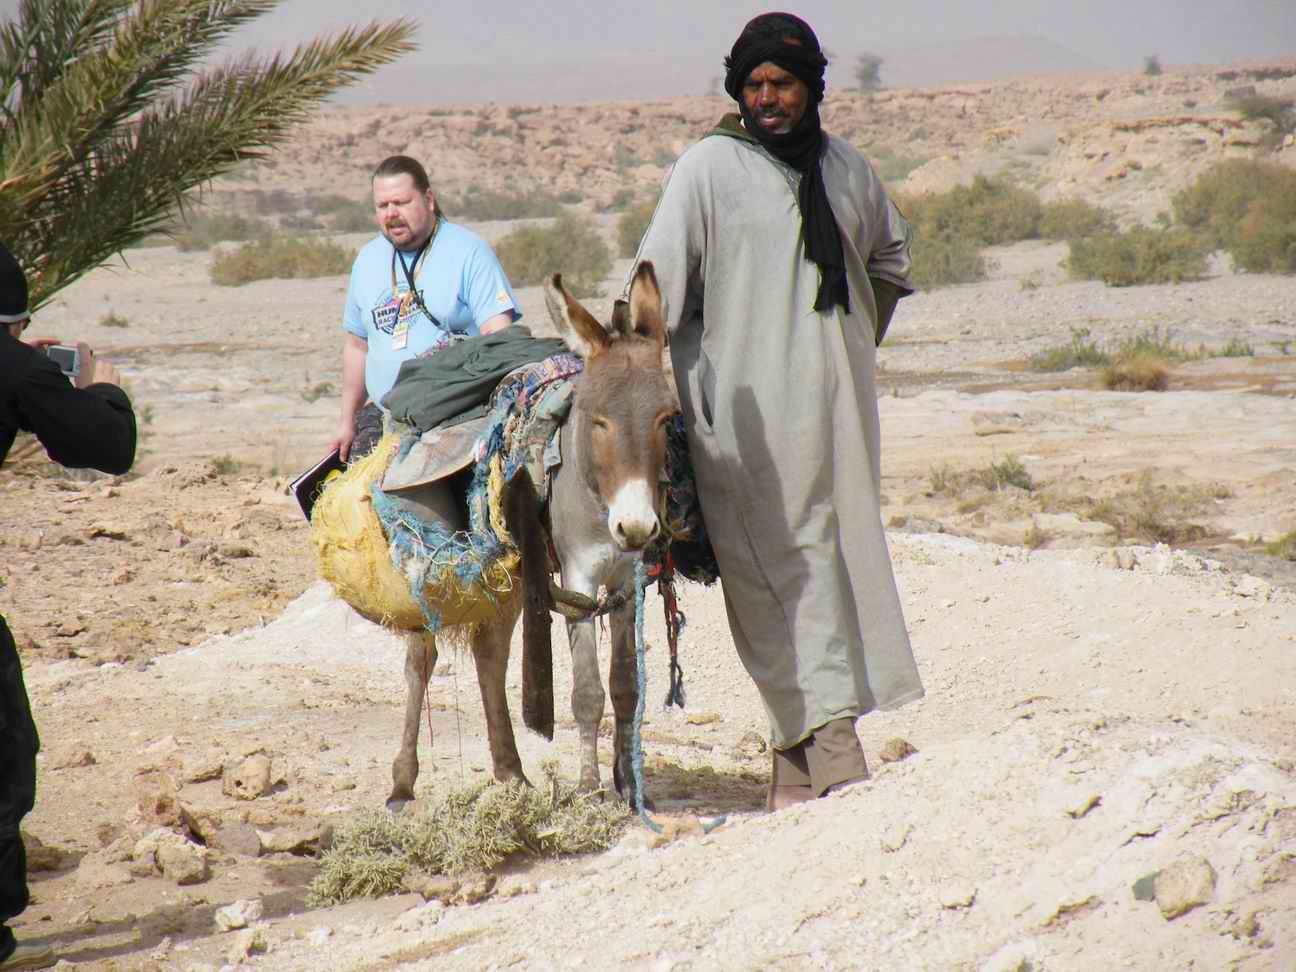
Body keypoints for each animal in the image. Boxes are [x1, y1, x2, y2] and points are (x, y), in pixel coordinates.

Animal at [386, 261, 676, 811]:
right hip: (430, 558)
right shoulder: (580, 579)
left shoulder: (626, 582)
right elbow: (588, 692)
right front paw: (590, 790)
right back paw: (402, 785)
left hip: (509, 574)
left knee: (489, 656)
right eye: (598, 420)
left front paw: (631, 788)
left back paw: (511, 773)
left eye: (665, 418)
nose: (635, 526)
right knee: (420, 660)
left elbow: (625, 686)